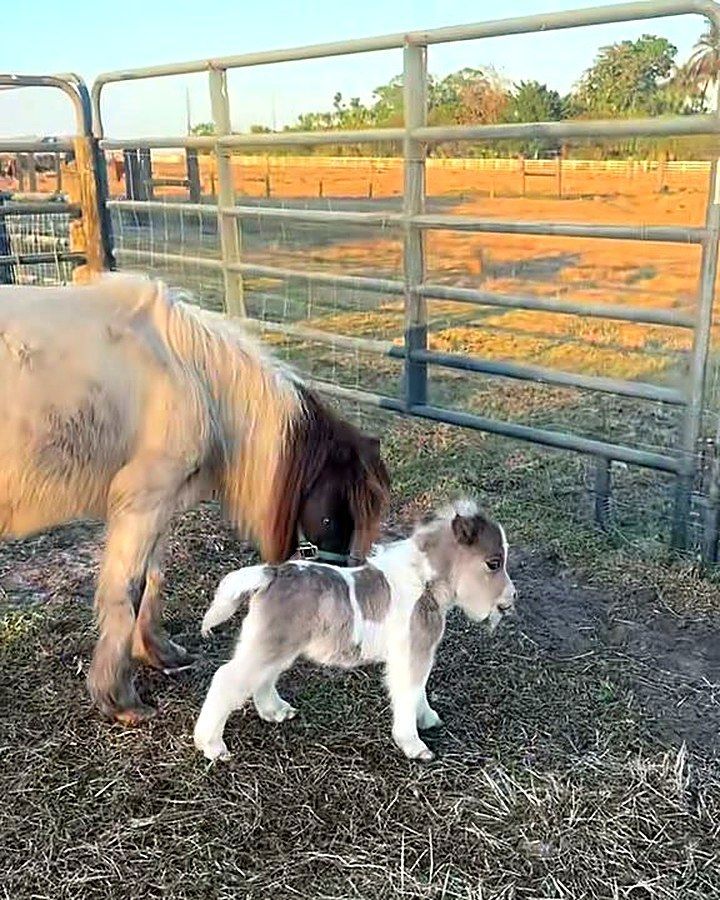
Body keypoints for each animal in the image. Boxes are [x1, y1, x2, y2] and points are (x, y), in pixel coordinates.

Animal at [0, 273, 390, 723]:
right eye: (341, 511)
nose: (344, 580)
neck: (186, 373)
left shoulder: (160, 506)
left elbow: (153, 578)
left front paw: (158, 652)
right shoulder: (143, 502)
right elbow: (128, 589)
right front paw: (120, 698)